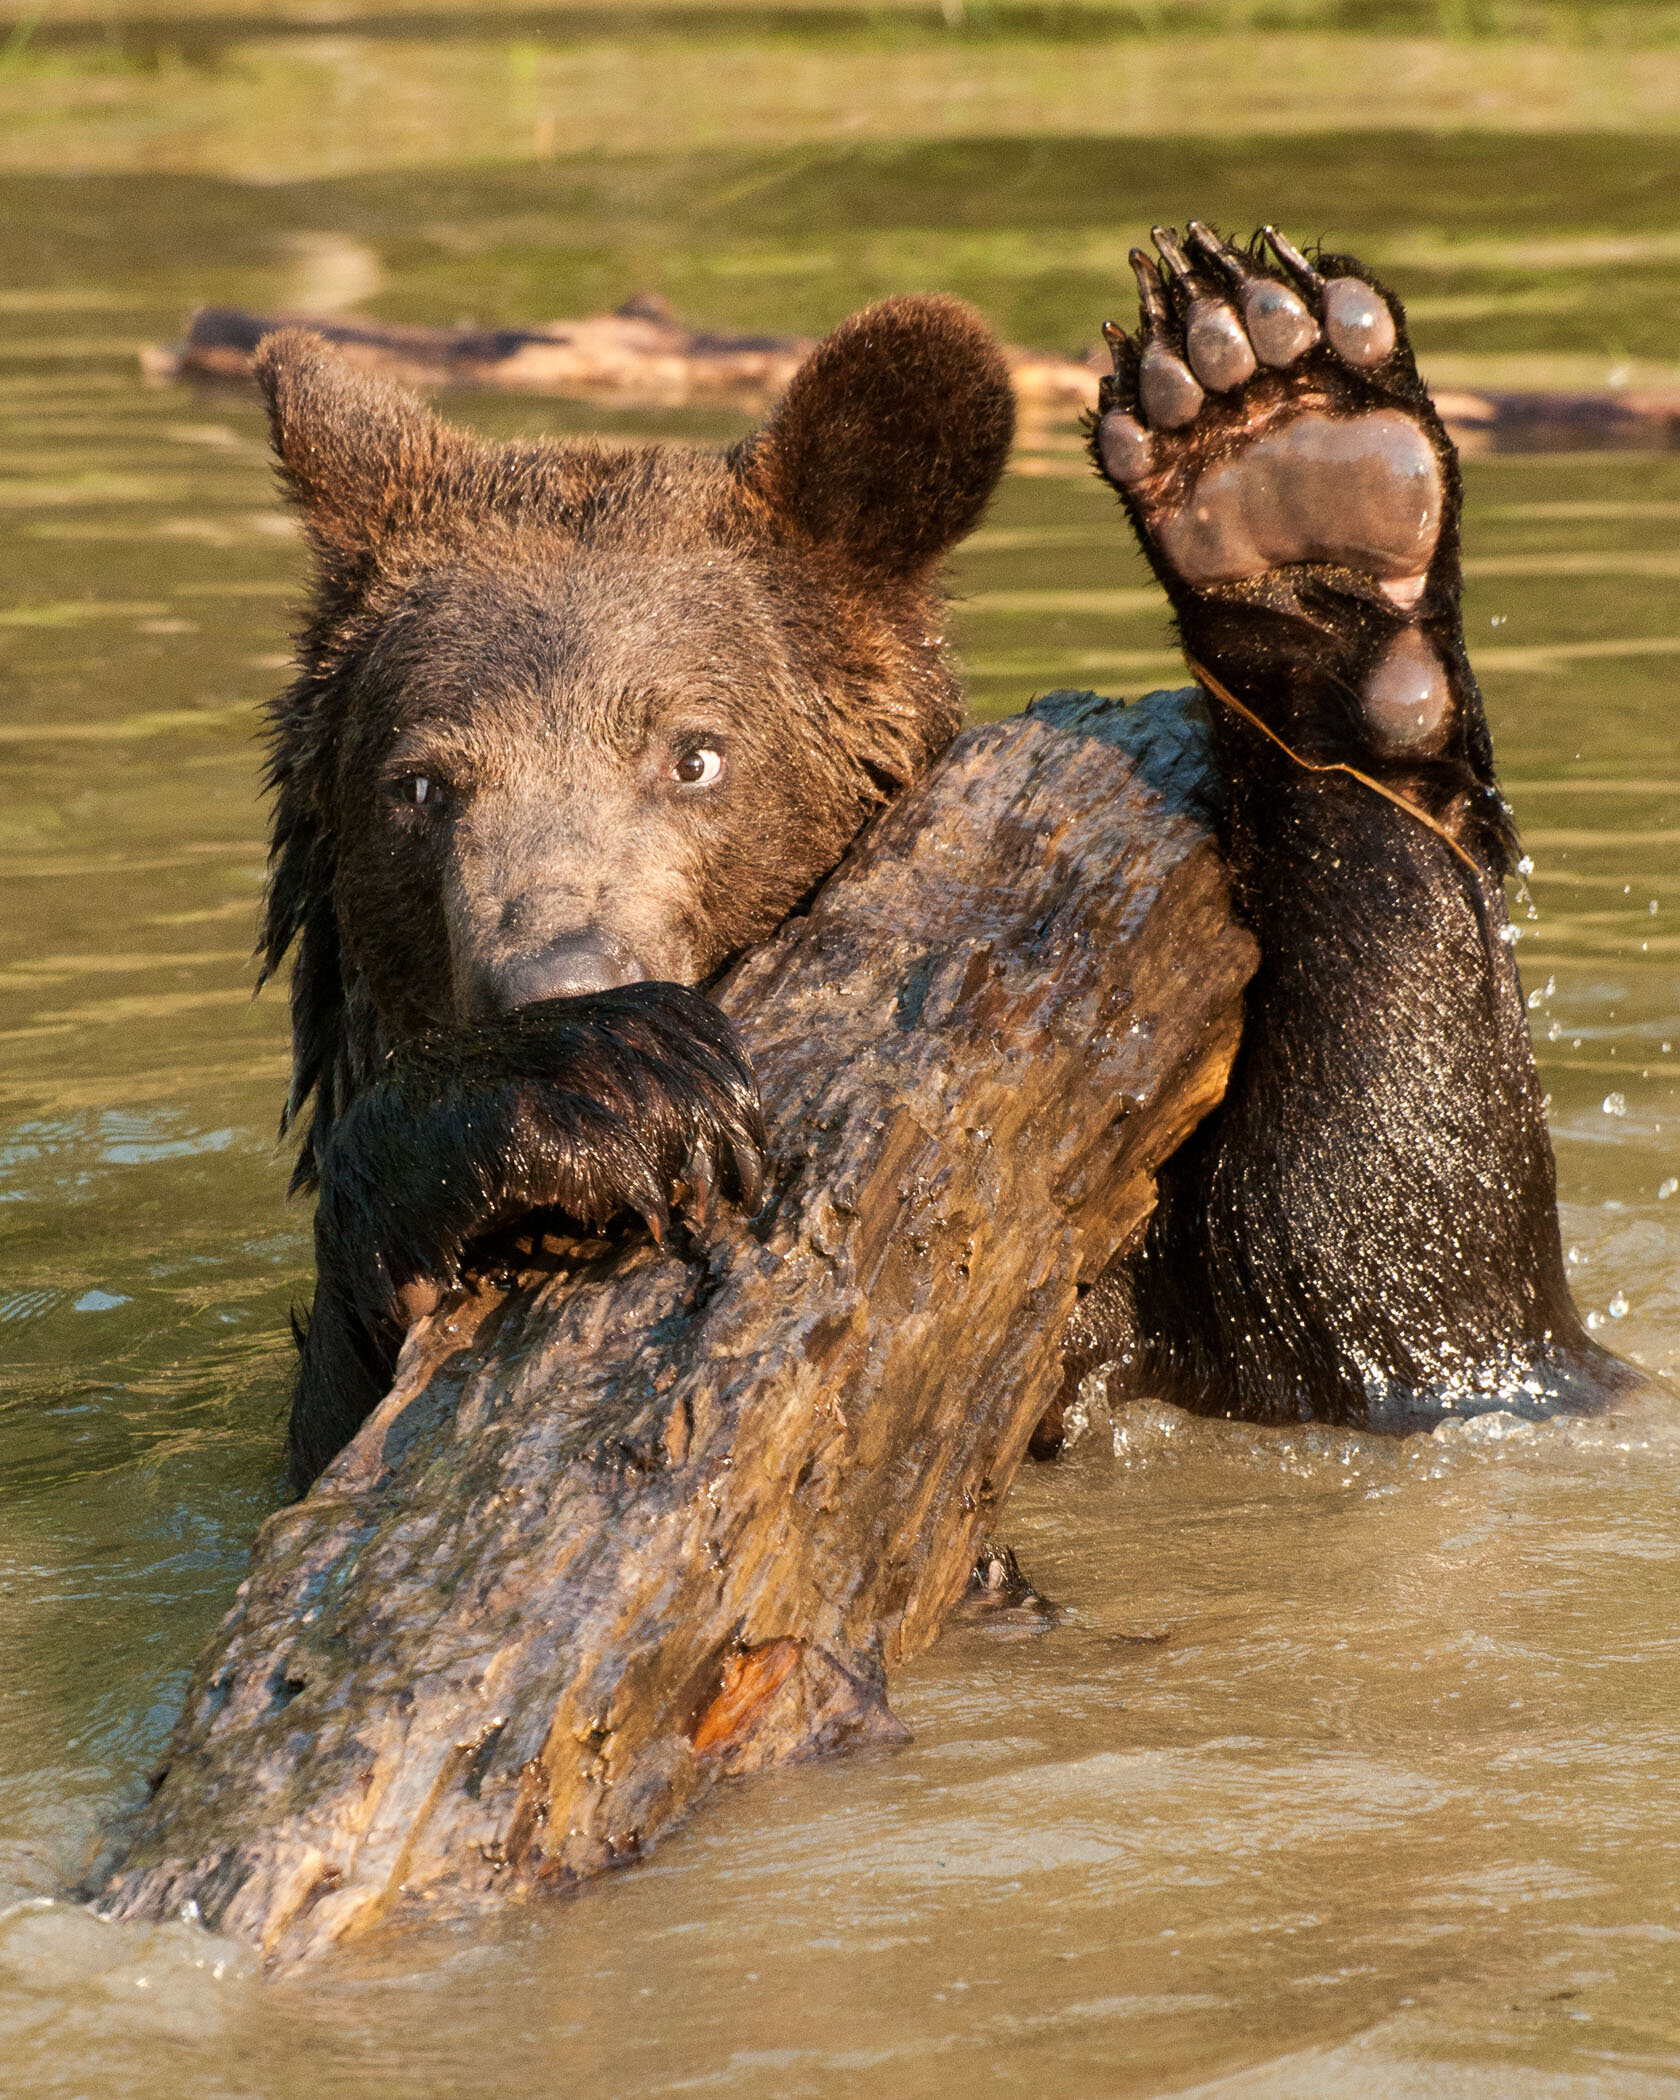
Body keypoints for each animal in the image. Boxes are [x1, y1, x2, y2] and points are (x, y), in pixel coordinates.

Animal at [256, 225, 1637, 1495]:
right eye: (417, 785)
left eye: (696, 755)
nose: (558, 975)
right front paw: (603, 1079)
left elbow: (1396, 1271)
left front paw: (1282, 439)